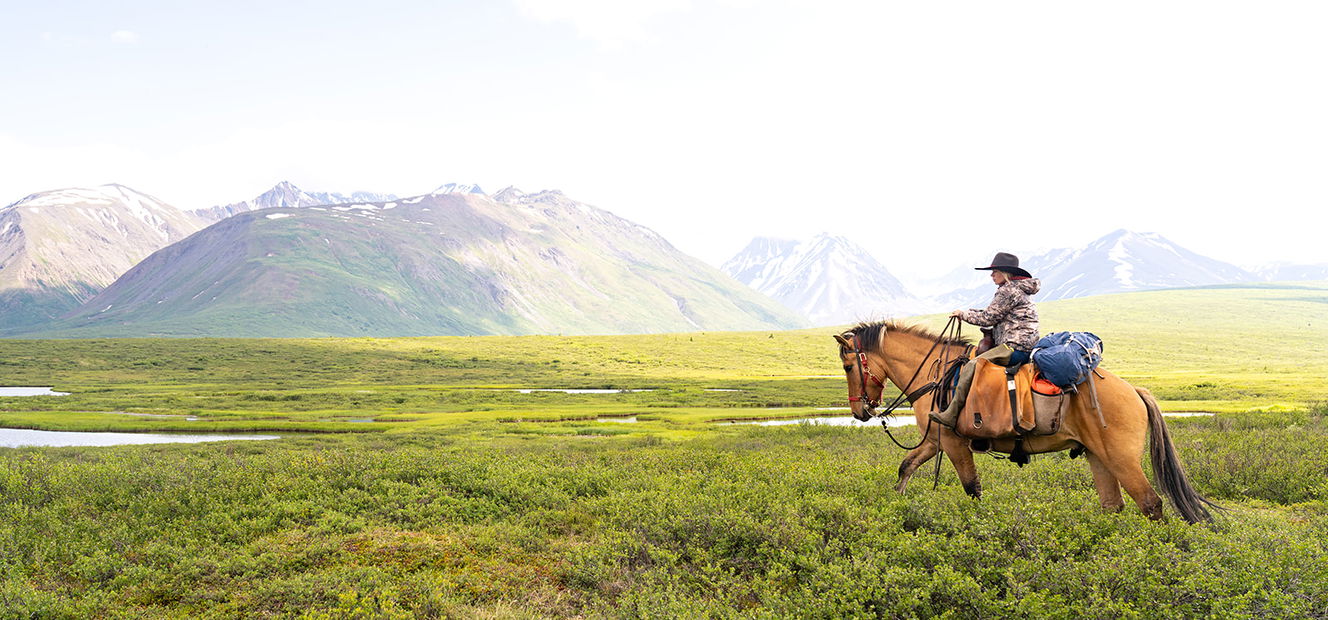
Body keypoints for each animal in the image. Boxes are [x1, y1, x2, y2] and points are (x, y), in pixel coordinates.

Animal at [834, 320, 1218, 523]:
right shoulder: (934, 441)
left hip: (1122, 458)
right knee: (1113, 506)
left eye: (849, 366)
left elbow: (972, 488)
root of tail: (1135, 391)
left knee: (1151, 504)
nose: (860, 411)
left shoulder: (954, 443)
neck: (936, 374)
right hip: (1099, 457)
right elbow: (906, 468)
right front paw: (896, 507)